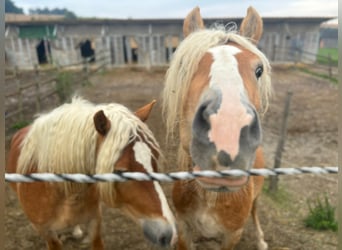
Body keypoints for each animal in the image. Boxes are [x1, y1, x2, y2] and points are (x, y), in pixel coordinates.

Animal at [162, 5, 272, 250]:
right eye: (184, 65)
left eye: (259, 70)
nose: (226, 137)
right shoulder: (183, 228)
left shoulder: (232, 235)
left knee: (256, 210)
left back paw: (261, 239)